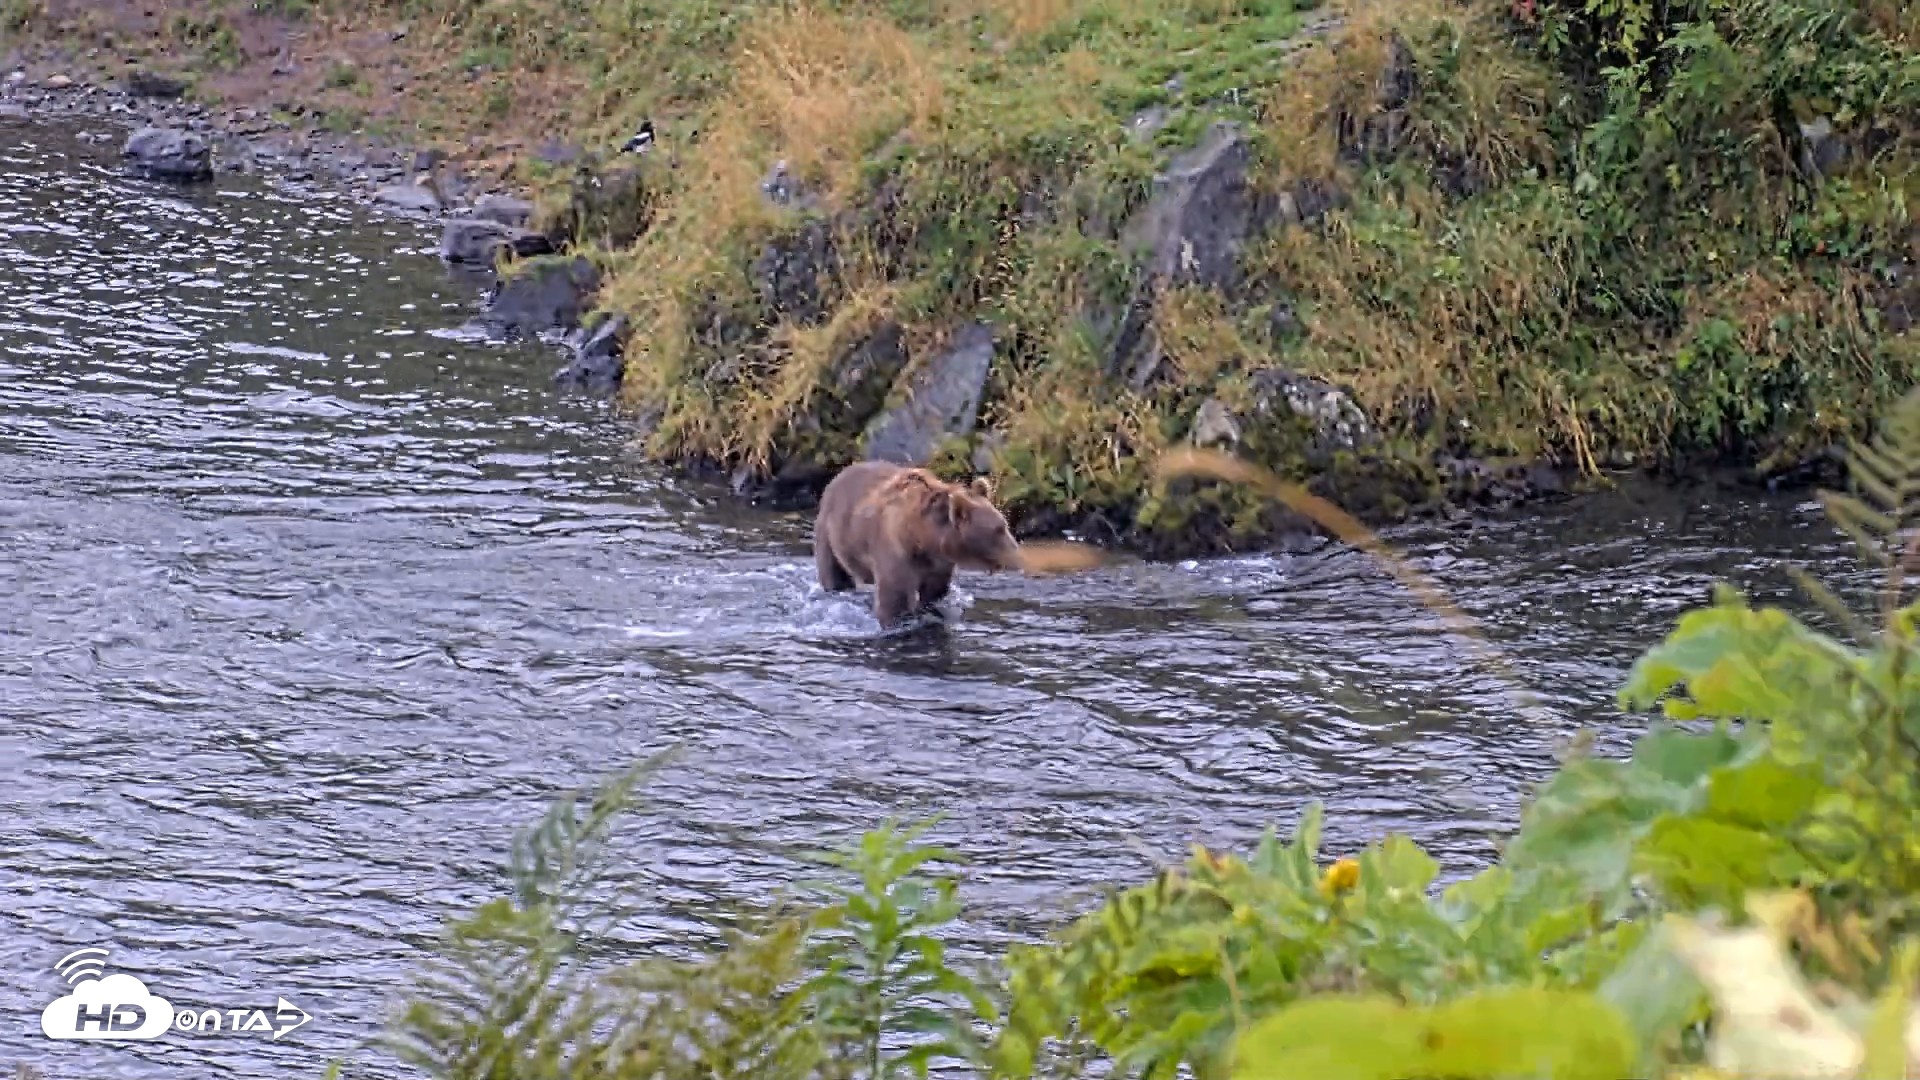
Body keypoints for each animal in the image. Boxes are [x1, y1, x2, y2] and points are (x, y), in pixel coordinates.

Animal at [812, 460, 1026, 628]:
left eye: (1004, 524)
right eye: (999, 529)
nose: (1017, 554)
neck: (923, 539)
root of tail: (839, 474)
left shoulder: (939, 566)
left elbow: (935, 592)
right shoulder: (895, 553)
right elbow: (893, 600)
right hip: (830, 533)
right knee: (834, 572)